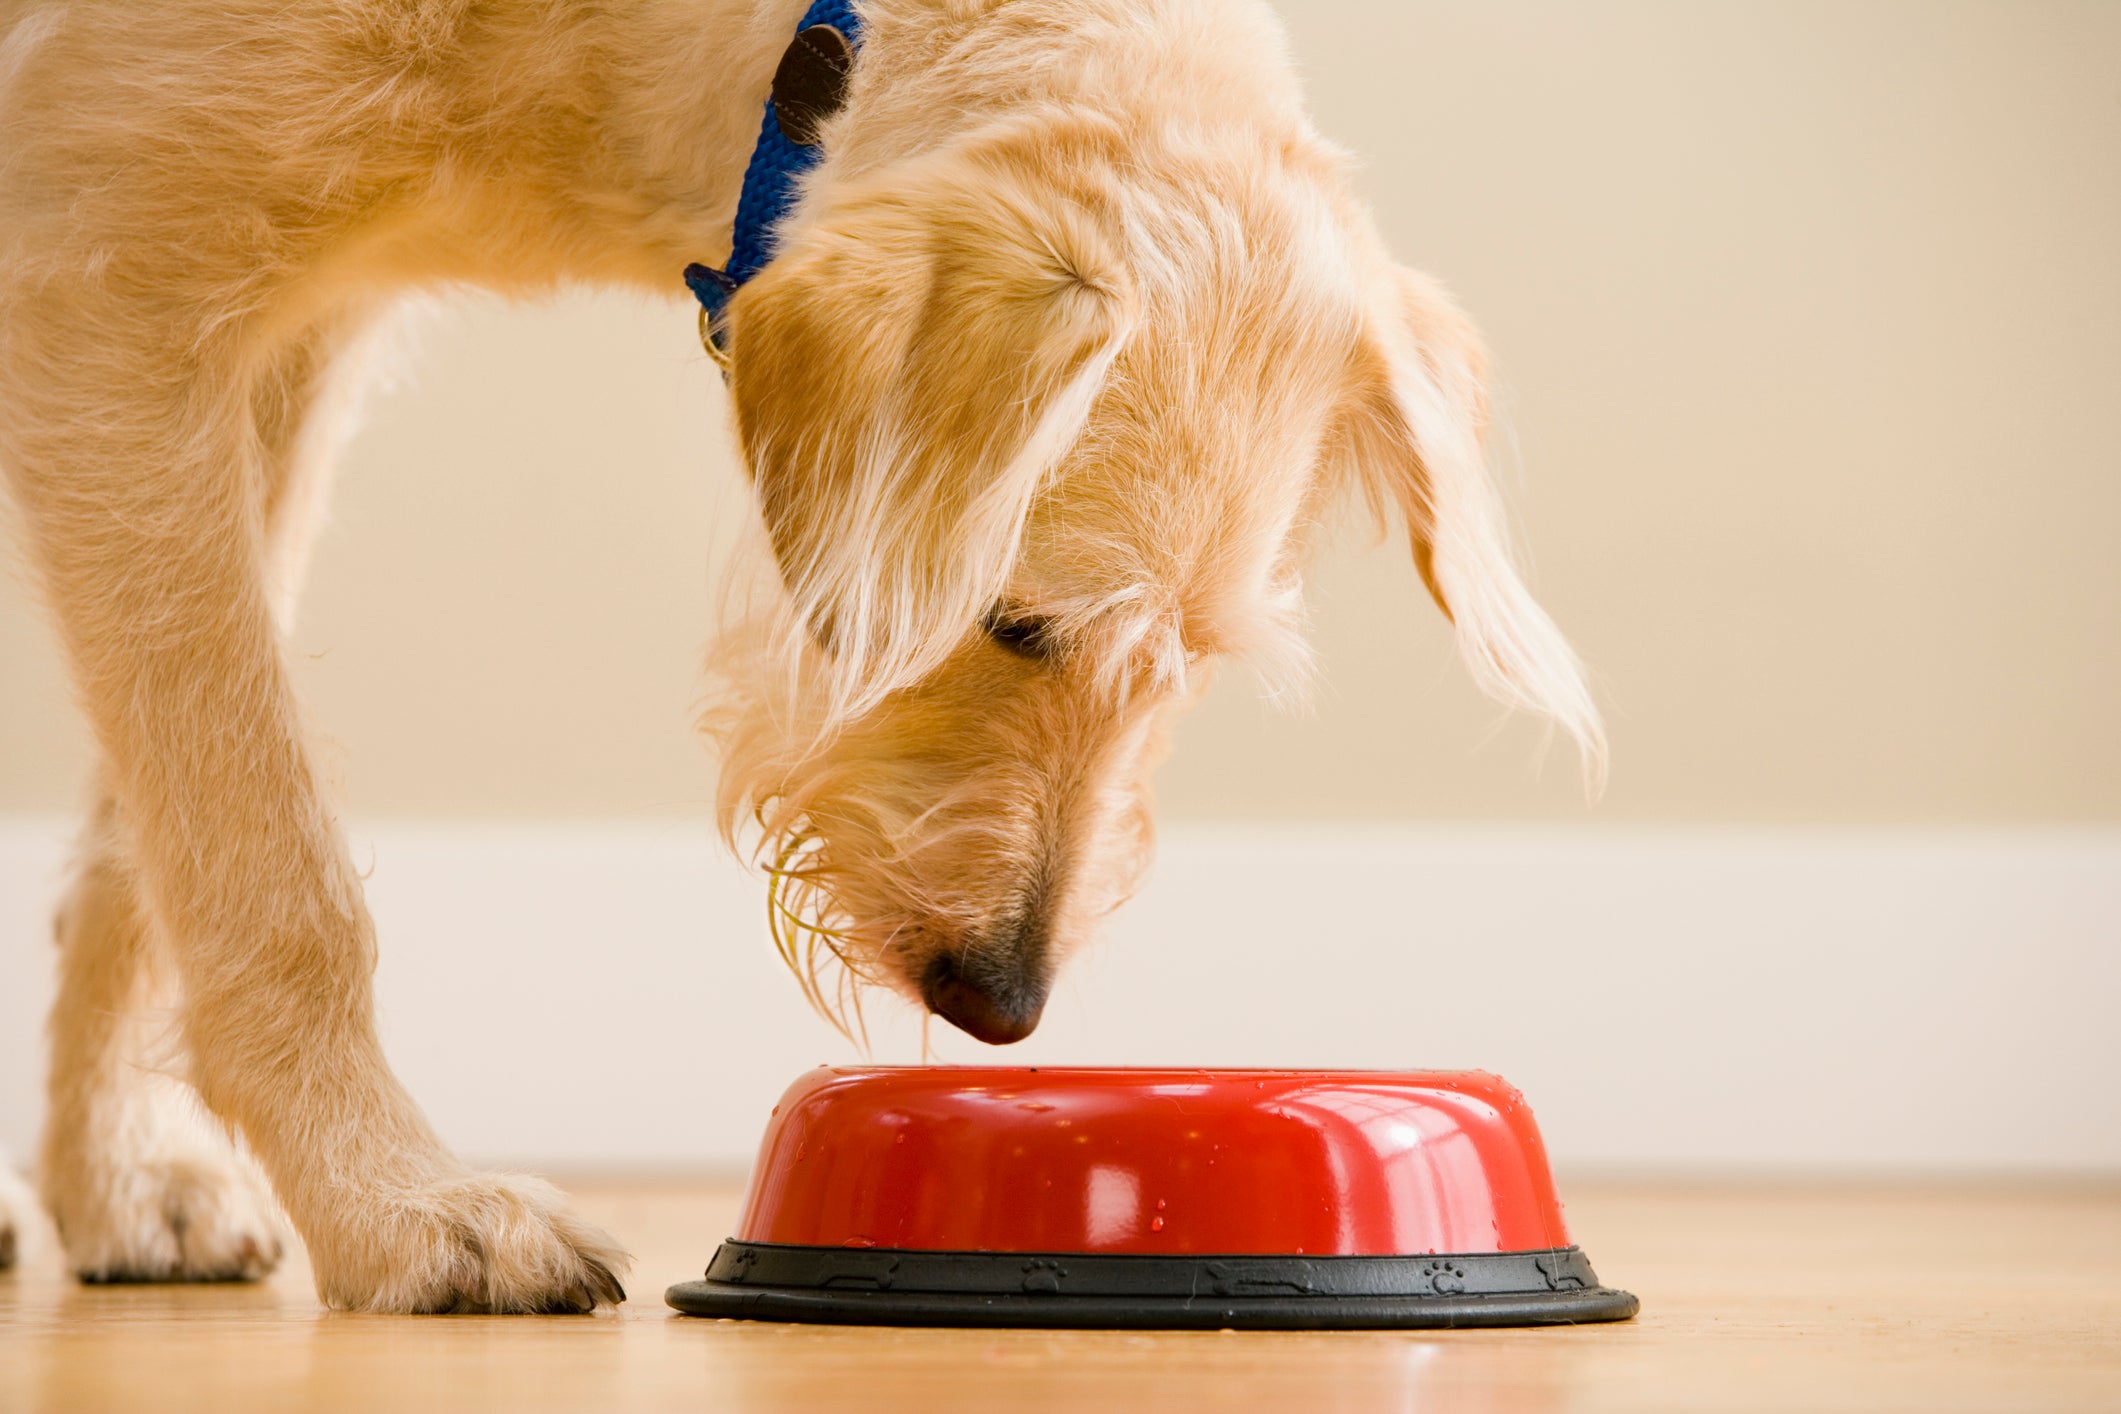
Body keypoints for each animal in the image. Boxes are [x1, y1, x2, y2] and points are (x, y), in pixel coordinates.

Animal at [0, 0, 1594, 1314]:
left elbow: (151, 830)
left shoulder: (274, 346)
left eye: (1192, 665)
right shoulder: (108, 280)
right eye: (1012, 617)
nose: (1000, 1004)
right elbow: (264, 845)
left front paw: (119, 1177)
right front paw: (396, 1206)